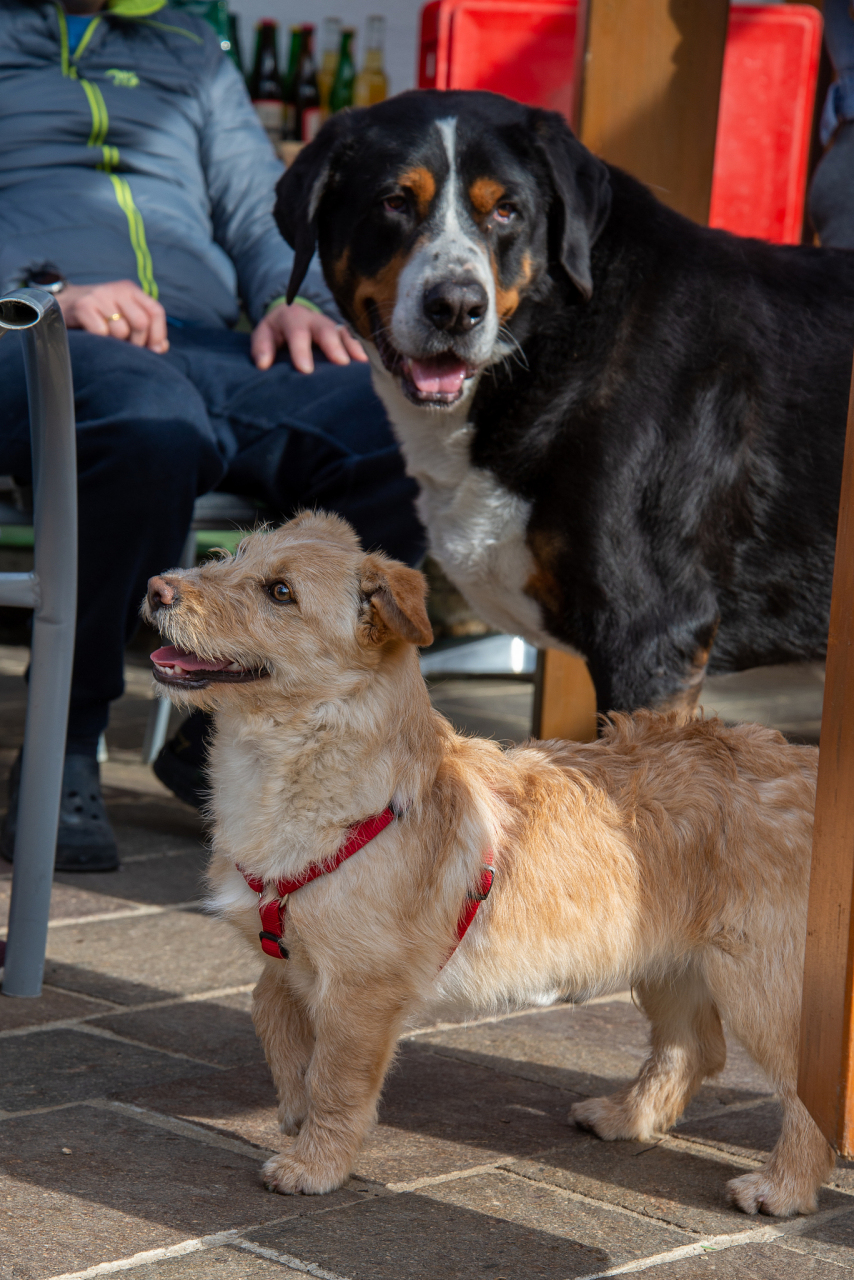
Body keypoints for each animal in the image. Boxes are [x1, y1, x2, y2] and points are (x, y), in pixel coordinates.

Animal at [142, 509, 834, 1218]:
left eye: (280, 592)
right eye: (232, 554)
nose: (157, 587)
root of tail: (811, 767)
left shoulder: (363, 988)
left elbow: (337, 1078)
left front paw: (316, 1164)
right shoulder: (290, 954)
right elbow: (270, 1015)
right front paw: (293, 1107)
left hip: (761, 985)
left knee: (807, 1088)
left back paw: (783, 1186)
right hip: (668, 961)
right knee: (693, 1047)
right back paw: (624, 1116)